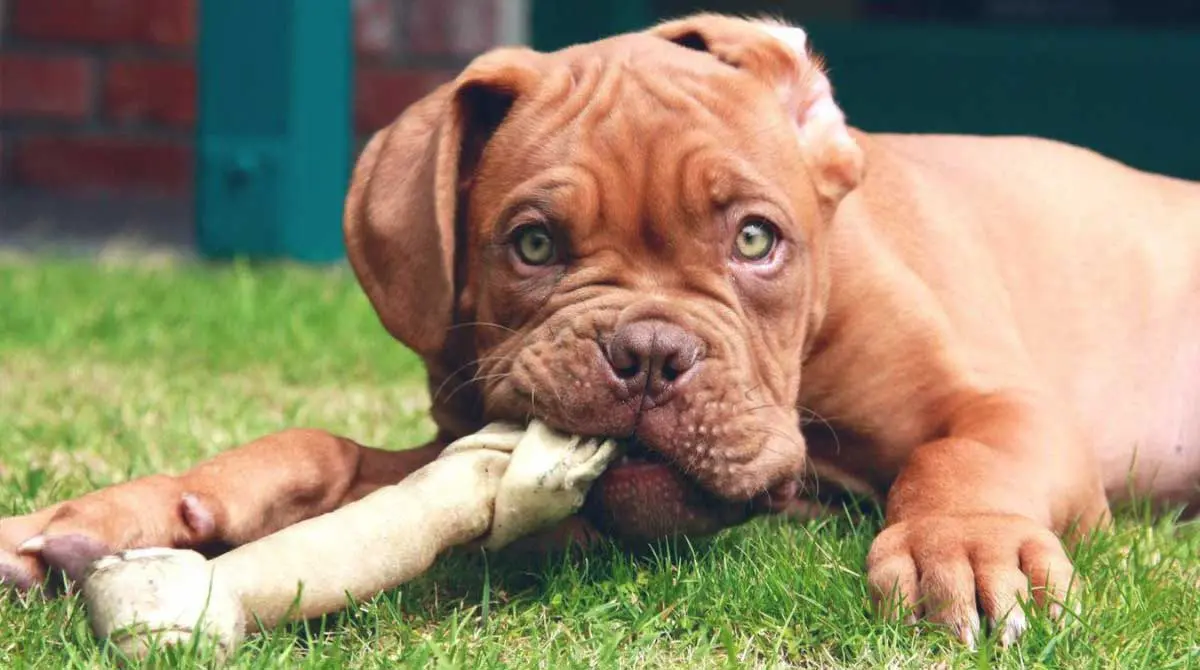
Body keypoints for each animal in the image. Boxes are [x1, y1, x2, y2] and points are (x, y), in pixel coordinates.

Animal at [2, 11, 1200, 653]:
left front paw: (968, 547)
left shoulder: (1000, 405)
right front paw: (110, 515)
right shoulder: (470, 444)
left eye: (757, 239)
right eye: (532, 245)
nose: (652, 354)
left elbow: (962, 458)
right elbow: (318, 450)